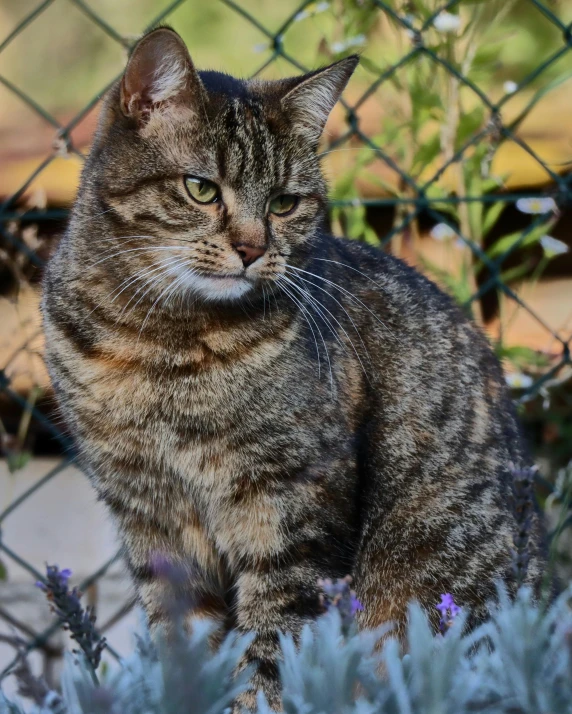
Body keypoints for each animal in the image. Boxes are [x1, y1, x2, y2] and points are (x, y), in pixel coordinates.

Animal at [42, 26, 544, 708]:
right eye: (202, 188)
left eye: (283, 203)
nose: (253, 249)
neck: (161, 347)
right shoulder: (145, 511)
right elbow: (185, 642)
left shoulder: (293, 502)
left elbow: (273, 645)